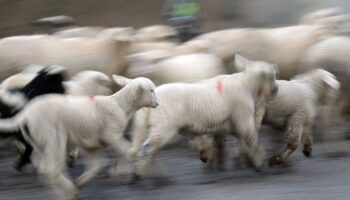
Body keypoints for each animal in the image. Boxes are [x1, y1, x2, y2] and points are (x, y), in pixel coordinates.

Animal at [0, 74, 157, 198]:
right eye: (151, 90)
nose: (157, 103)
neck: (120, 106)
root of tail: (25, 115)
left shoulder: (89, 142)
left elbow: (98, 164)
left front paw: (82, 182)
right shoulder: (110, 135)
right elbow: (128, 151)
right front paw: (122, 172)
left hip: (38, 140)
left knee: (44, 168)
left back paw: (67, 190)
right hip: (52, 136)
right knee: (50, 169)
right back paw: (69, 192)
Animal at [129, 54, 278, 180]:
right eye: (272, 75)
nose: (276, 90)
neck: (247, 86)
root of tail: (152, 97)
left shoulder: (230, 124)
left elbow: (235, 141)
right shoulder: (243, 117)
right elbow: (252, 139)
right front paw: (260, 162)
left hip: (150, 125)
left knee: (147, 149)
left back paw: (148, 172)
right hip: (164, 125)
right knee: (148, 148)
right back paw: (138, 174)